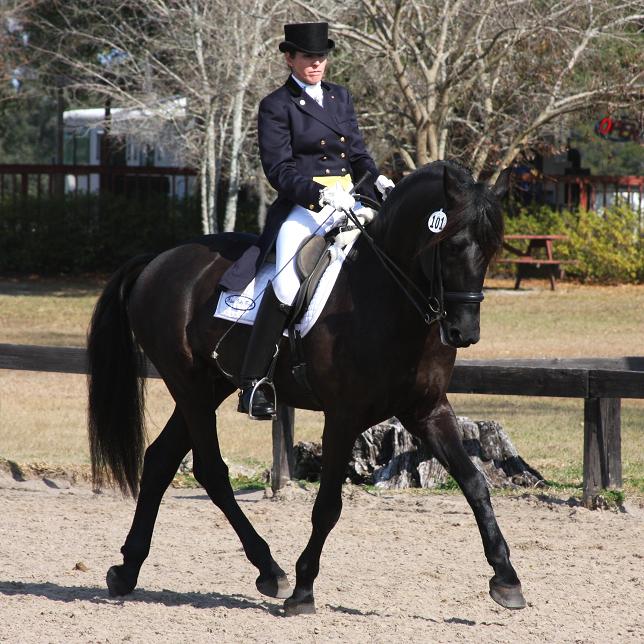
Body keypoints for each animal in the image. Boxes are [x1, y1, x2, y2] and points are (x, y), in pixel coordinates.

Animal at [87, 159, 526, 615]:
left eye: (491, 249)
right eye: (453, 245)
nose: (463, 332)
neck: (384, 299)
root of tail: (158, 260)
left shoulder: (428, 410)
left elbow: (475, 483)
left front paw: (506, 579)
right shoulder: (343, 418)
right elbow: (328, 505)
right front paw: (303, 588)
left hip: (207, 388)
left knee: (159, 461)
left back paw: (128, 570)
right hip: (189, 387)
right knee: (211, 472)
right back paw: (271, 571)